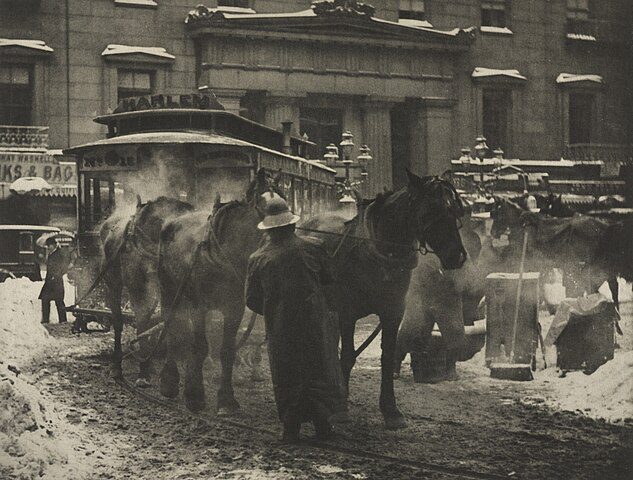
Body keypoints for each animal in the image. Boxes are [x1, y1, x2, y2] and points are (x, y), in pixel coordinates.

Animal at [100, 195, 194, 382]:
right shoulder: (139, 287)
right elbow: (143, 320)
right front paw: (143, 372)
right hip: (112, 281)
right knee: (118, 320)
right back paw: (117, 365)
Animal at [156, 169, 278, 412]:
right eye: (264, 205)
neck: (222, 252)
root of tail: (173, 221)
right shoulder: (199, 307)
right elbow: (201, 347)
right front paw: (194, 395)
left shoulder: (234, 309)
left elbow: (226, 351)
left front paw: (226, 398)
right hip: (169, 291)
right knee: (172, 329)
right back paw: (170, 381)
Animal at [298, 170, 466, 428]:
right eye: (430, 210)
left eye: (455, 210)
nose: (457, 256)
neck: (378, 252)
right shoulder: (348, 312)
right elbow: (348, 356)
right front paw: (341, 408)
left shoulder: (392, 313)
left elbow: (387, 357)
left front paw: (391, 410)